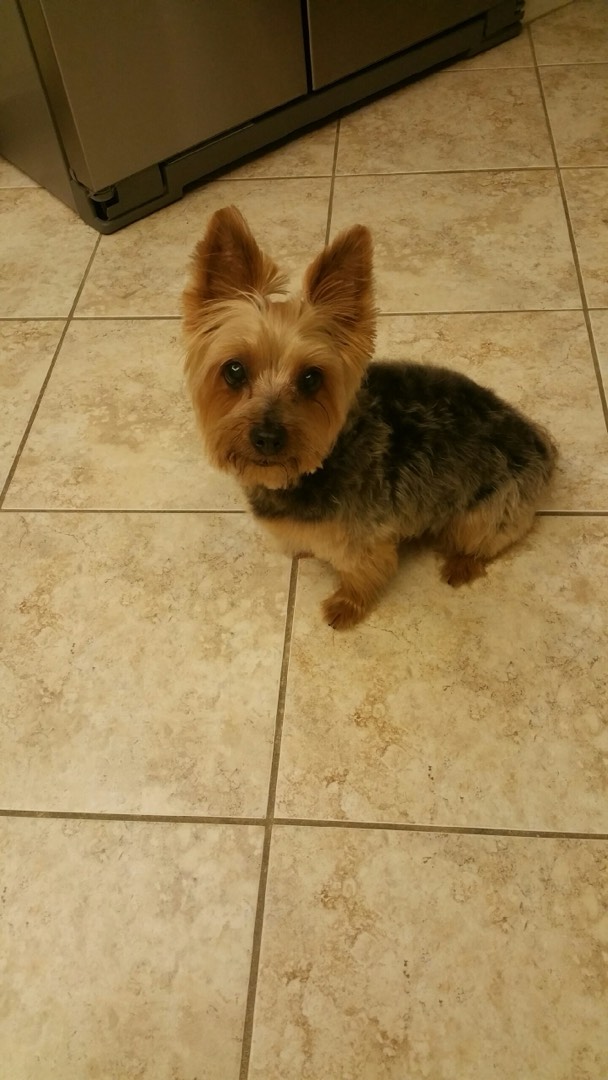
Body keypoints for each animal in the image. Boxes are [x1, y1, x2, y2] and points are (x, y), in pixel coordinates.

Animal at [183, 206, 557, 629]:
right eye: (233, 370)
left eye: (311, 378)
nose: (267, 438)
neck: (314, 466)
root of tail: (537, 440)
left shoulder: (362, 540)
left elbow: (363, 573)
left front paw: (346, 606)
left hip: (488, 511)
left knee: (485, 540)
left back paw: (460, 564)